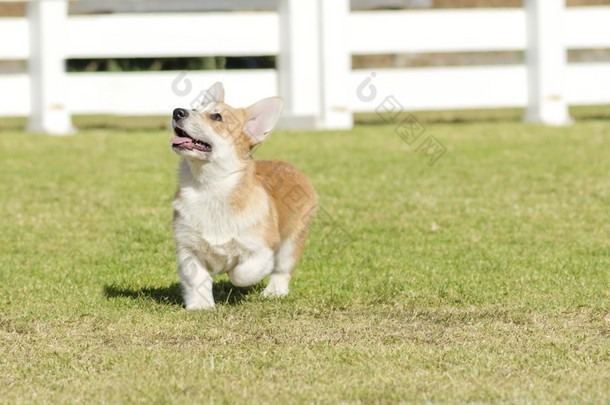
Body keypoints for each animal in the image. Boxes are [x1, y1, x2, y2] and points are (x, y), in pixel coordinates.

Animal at [169, 82, 316, 310]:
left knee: (282, 270)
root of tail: (291, 167)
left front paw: (230, 271)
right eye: (195, 108)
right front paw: (201, 306)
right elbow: (197, 279)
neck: (209, 186)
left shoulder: (261, 249)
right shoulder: (187, 248)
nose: (177, 111)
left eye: (216, 117)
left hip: (292, 241)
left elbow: (241, 273)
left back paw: (274, 292)